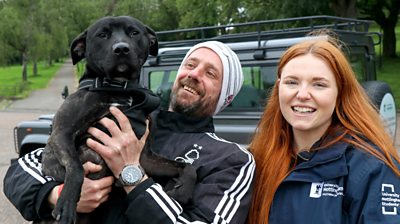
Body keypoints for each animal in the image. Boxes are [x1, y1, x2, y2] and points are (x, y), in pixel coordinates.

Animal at [39, 16, 196, 224]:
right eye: (102, 35)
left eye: (134, 32)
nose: (121, 49)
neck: (120, 89)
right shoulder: (61, 133)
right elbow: (76, 168)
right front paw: (66, 203)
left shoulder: (144, 158)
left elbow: (188, 166)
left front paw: (183, 191)